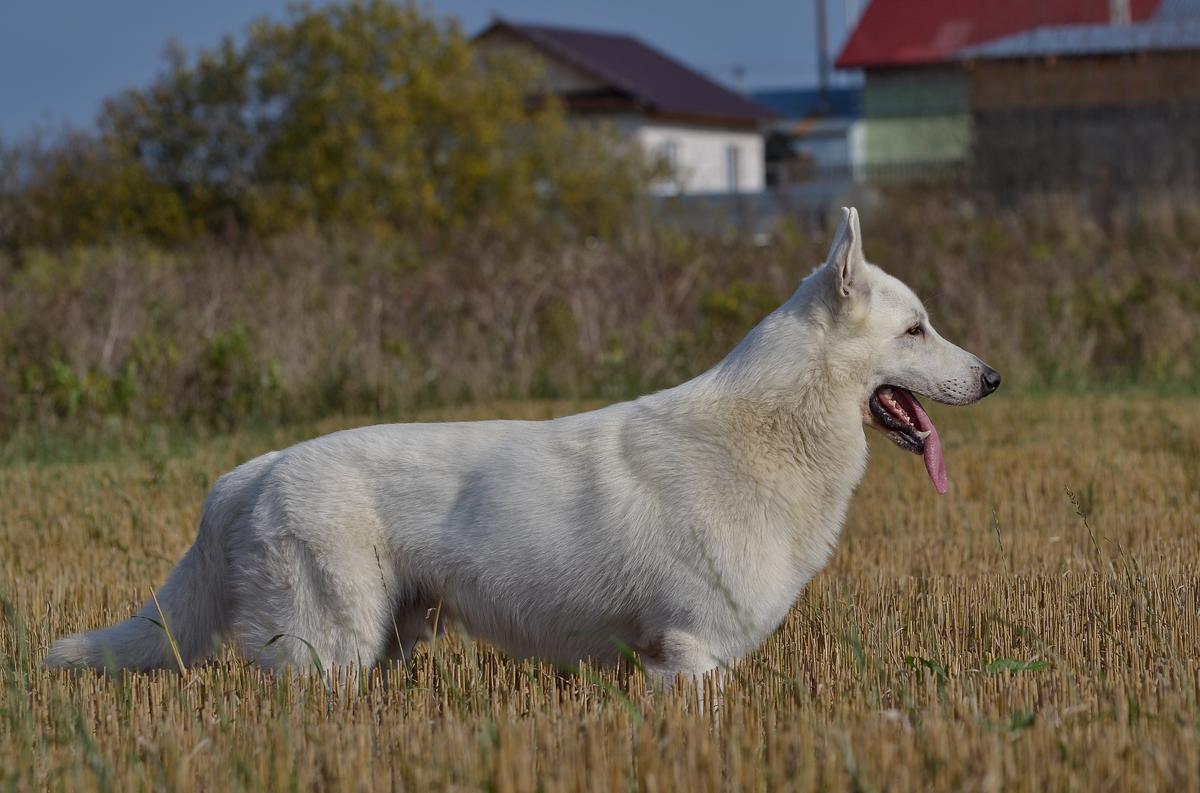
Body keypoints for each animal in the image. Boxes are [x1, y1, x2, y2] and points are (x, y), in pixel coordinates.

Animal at [46, 208, 998, 681]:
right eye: (917, 329)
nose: (991, 377)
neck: (765, 430)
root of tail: (248, 473)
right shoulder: (688, 655)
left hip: (383, 644)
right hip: (328, 651)